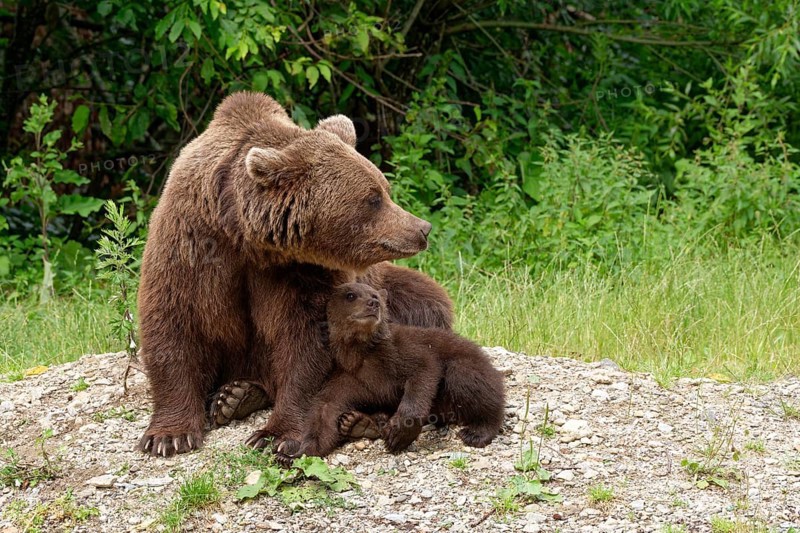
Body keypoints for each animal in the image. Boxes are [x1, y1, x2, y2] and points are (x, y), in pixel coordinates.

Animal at [136, 92, 453, 457]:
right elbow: (173, 323)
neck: (246, 237)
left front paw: (274, 434)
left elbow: (308, 340)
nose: (422, 228)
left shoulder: (302, 272)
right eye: (373, 198)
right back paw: (235, 396)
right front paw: (169, 436)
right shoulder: (190, 245)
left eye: (384, 188)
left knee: (426, 304)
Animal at [274, 282, 506, 465]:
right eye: (350, 295)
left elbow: (423, 369)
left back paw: (476, 431)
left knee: (466, 379)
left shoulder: (396, 352)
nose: (373, 303)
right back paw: (358, 423)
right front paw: (291, 454)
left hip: (472, 369)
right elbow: (324, 411)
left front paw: (399, 434)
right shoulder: (347, 375)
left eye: (375, 295)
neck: (360, 352)